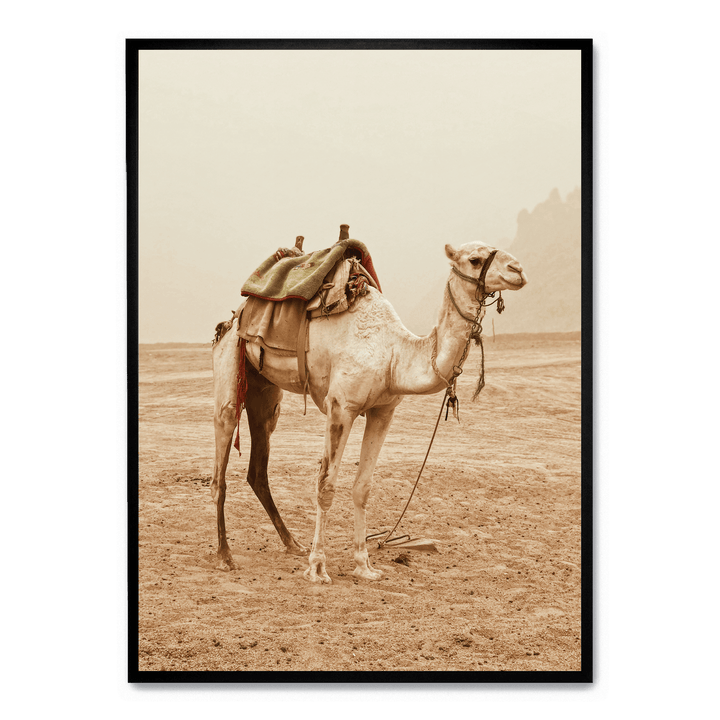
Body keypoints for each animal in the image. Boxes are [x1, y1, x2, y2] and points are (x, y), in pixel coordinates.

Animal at [211, 233, 527, 583]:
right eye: (474, 259)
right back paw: (225, 556)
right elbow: (325, 486)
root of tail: (235, 316)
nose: (518, 270)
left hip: (265, 391)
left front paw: (364, 565)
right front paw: (318, 567)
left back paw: (292, 543)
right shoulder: (341, 406)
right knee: (221, 460)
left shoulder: (383, 411)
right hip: (231, 364)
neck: (394, 354)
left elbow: (362, 487)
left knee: (258, 464)